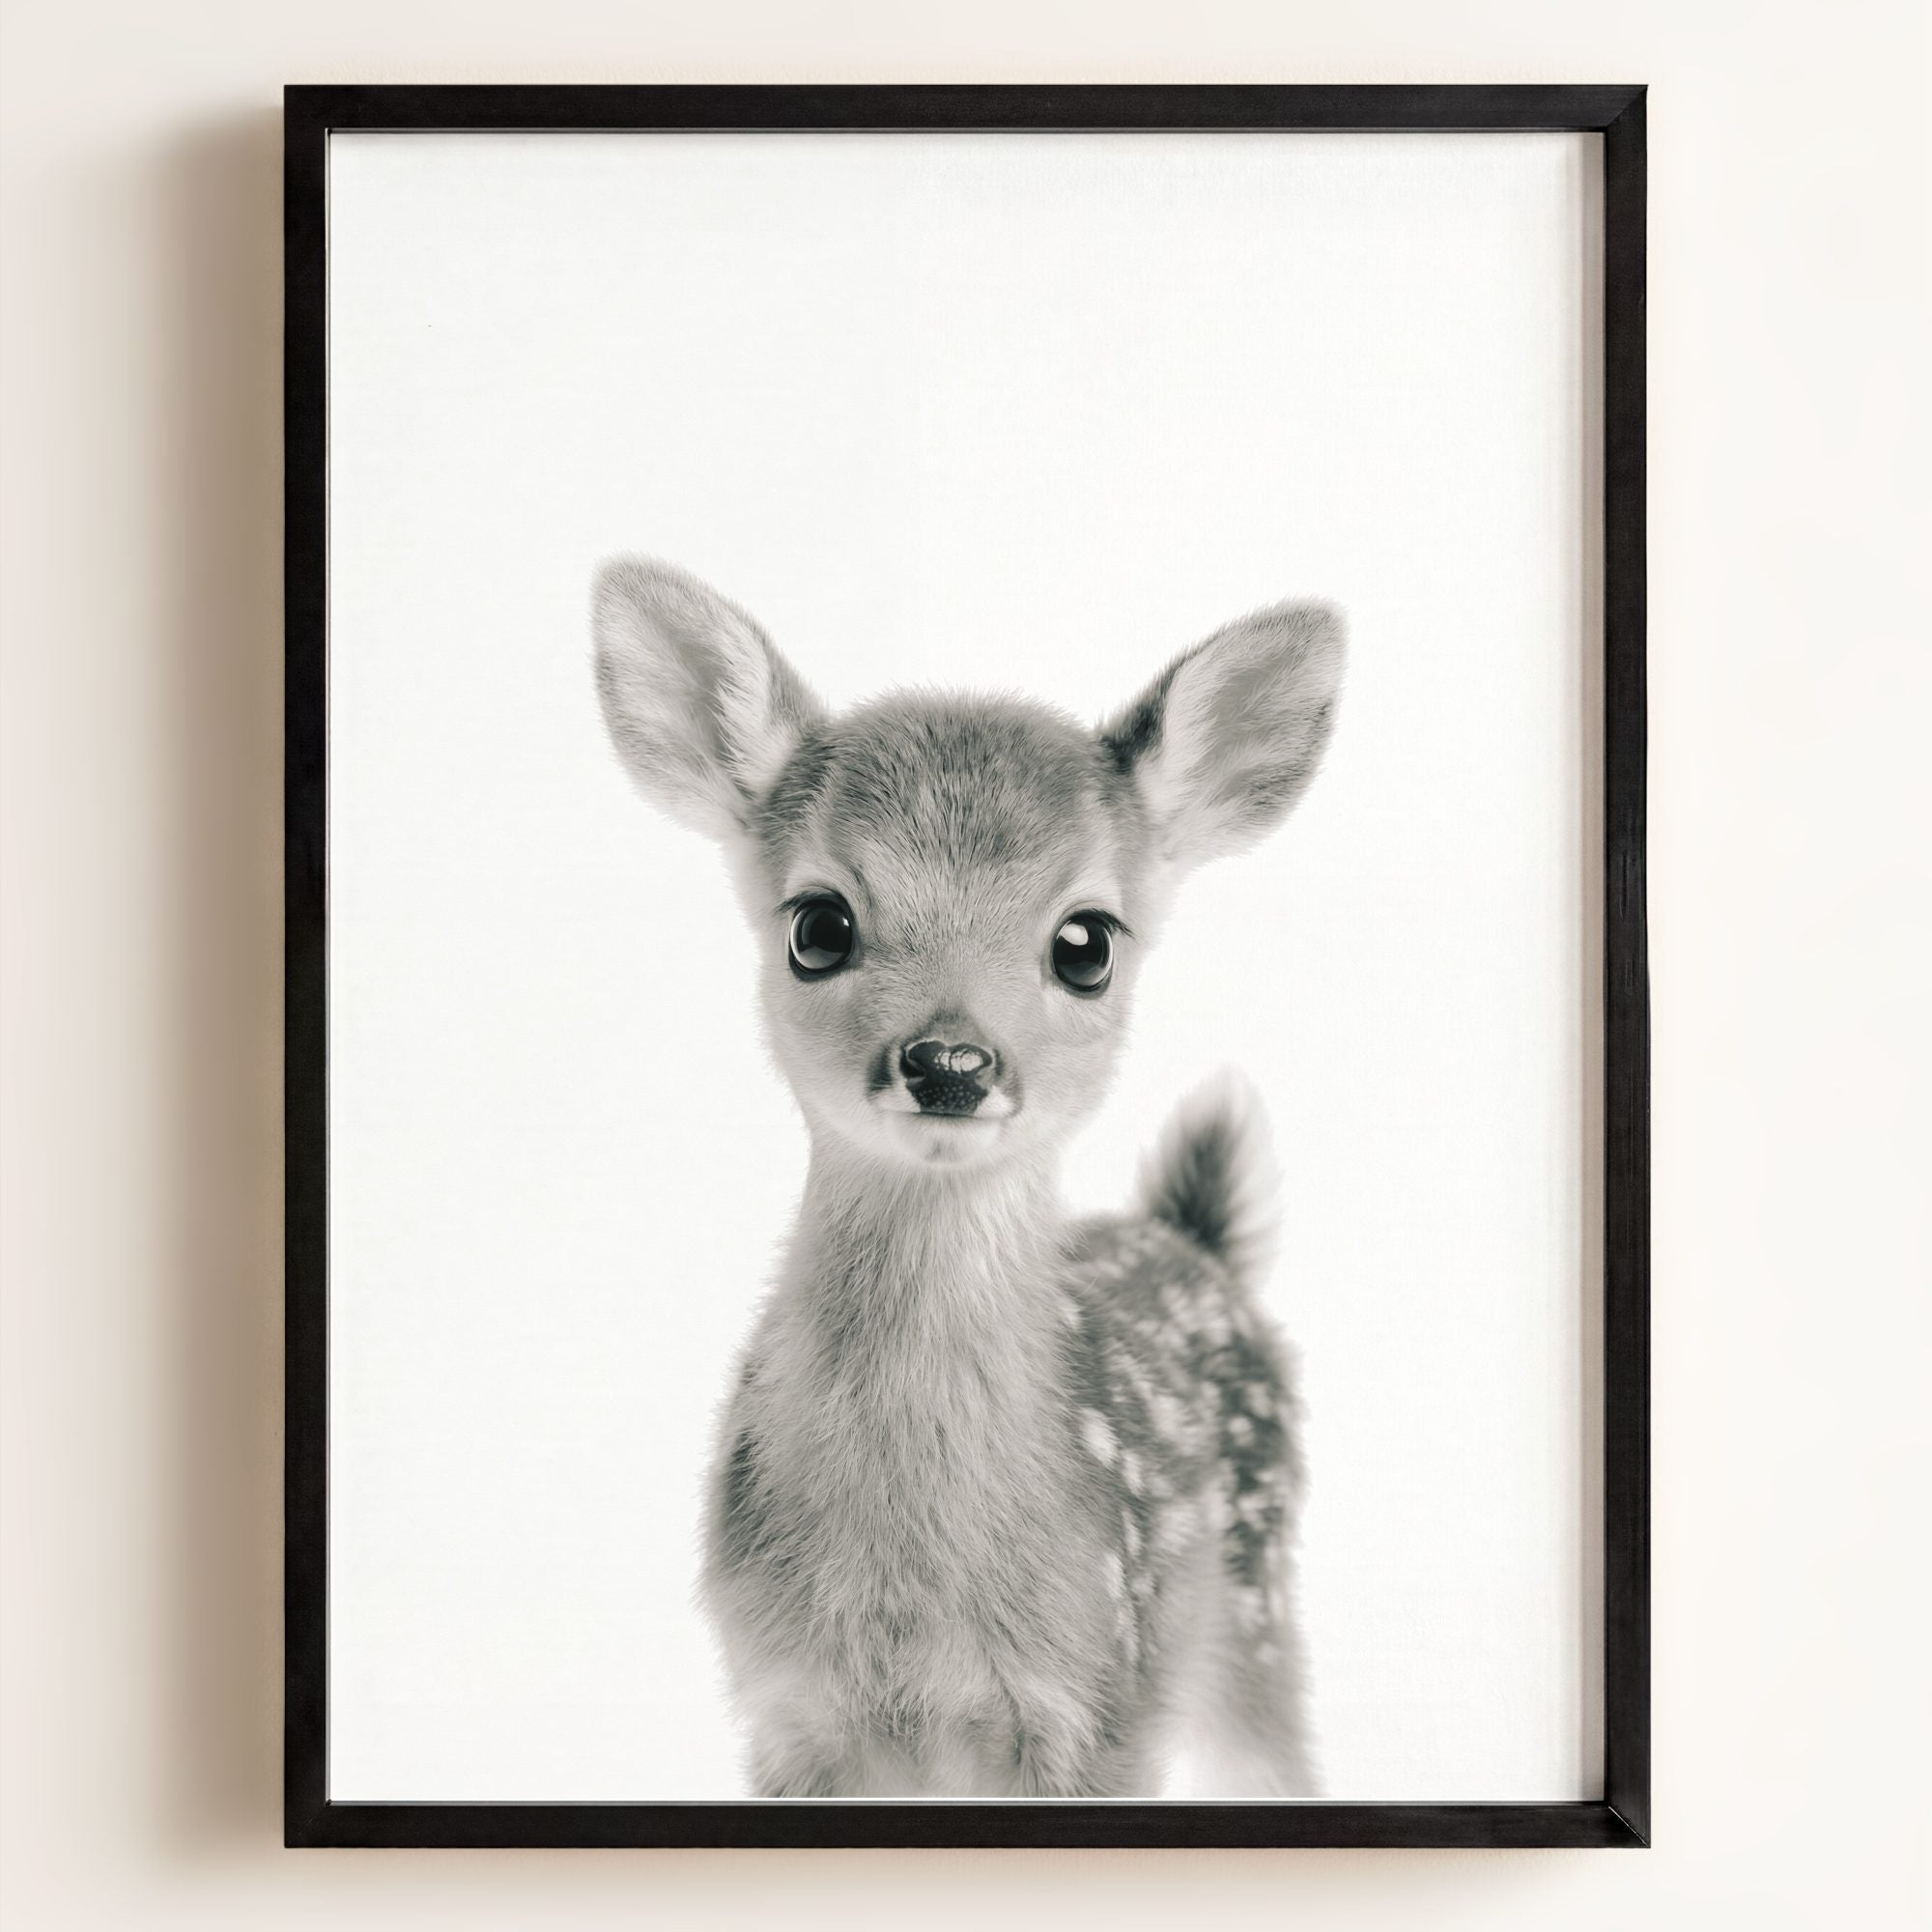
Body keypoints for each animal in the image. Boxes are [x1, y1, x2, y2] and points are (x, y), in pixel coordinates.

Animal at [593, 558, 1344, 1798]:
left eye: (1085, 942)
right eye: (817, 923)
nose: (949, 1062)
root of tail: (1194, 1239)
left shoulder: (1102, 1699)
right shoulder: (784, 1707)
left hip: (1257, 1606)